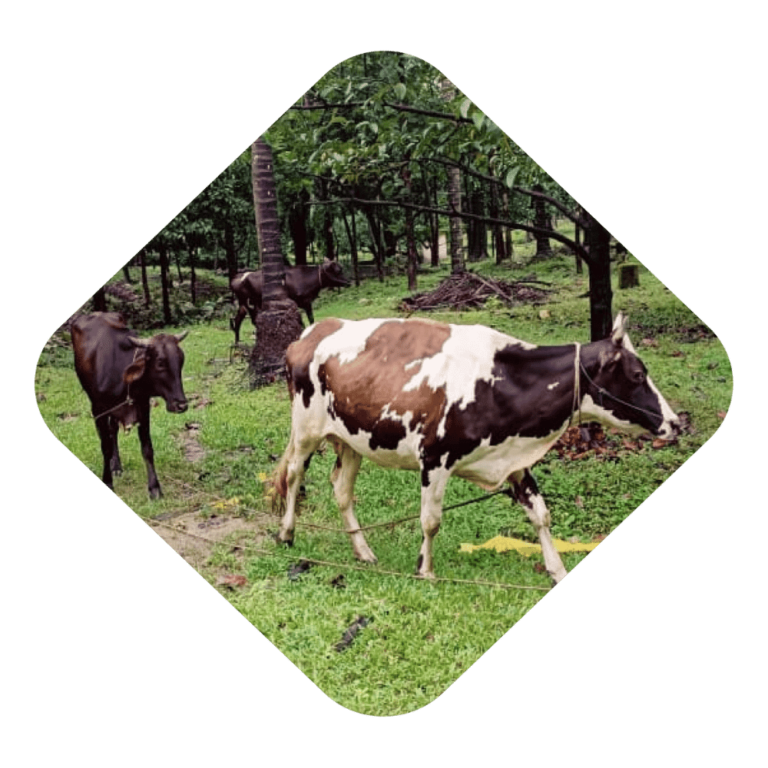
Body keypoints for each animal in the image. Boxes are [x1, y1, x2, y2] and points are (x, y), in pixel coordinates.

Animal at [71, 312, 189, 499]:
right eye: (160, 363)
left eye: (181, 361)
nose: (181, 405)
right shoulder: (99, 409)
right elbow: (105, 447)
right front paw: (108, 482)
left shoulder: (143, 406)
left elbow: (147, 447)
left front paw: (154, 488)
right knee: (105, 436)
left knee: (113, 431)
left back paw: (117, 465)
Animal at [274, 314, 679, 584]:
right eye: (637, 375)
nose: (676, 423)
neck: (502, 382)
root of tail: (312, 330)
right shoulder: (434, 458)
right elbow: (431, 520)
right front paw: (425, 570)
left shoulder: (516, 460)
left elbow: (541, 515)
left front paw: (557, 569)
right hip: (306, 428)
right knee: (293, 475)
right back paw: (287, 533)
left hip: (351, 439)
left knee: (342, 489)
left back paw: (363, 551)